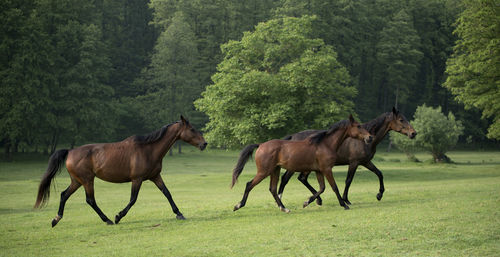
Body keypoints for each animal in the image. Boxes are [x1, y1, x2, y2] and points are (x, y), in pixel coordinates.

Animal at [34, 115, 207, 225]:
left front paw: (179, 214)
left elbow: (167, 193)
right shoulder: (137, 179)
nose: (204, 144)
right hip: (87, 180)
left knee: (64, 195)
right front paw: (118, 216)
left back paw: (56, 219)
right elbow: (133, 199)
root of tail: (70, 151)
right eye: (192, 129)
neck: (148, 149)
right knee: (90, 200)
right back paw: (108, 220)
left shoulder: (155, 177)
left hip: (77, 181)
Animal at [230, 115, 372, 211]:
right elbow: (334, 187)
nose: (369, 137)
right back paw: (238, 205)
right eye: (358, 126)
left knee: (273, 189)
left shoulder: (318, 170)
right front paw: (344, 204)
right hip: (264, 171)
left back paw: (284, 208)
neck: (325, 144)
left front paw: (307, 201)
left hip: (274, 170)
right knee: (250, 185)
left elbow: (322, 188)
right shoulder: (326, 169)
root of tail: (260, 145)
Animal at [280, 107, 416, 205]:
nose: (413, 133)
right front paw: (346, 200)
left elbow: (379, 173)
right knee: (286, 179)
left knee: (302, 178)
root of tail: (293, 136)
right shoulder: (354, 162)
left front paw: (379, 195)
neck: (363, 140)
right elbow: (348, 180)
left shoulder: (365, 162)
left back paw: (317, 200)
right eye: (401, 120)